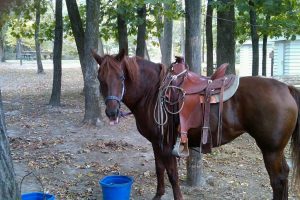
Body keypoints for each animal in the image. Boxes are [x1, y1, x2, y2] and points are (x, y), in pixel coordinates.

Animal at [92, 49, 300, 199]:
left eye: (121, 77)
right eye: (100, 79)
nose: (111, 112)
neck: (152, 93)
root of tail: (286, 88)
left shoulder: (166, 145)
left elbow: (172, 175)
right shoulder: (156, 143)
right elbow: (159, 169)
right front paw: (158, 195)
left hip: (270, 150)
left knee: (277, 180)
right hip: (276, 150)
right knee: (284, 175)